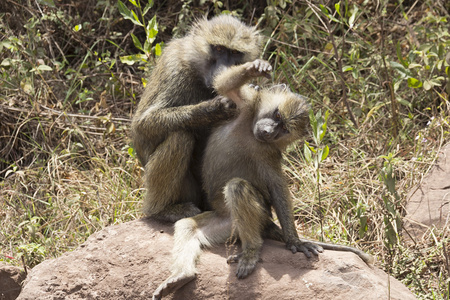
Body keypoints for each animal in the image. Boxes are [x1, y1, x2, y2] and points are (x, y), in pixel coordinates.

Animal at [131, 14, 264, 223]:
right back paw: (161, 210)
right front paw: (215, 108)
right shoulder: (174, 67)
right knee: (181, 136)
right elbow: (143, 125)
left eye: (235, 53)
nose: (224, 70)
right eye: (219, 49)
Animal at [153, 59, 374, 298]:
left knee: (237, 188)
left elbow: (276, 187)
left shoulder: (268, 155)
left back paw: (251, 252)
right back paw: (181, 276)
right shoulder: (243, 105)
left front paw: (294, 240)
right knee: (187, 226)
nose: (268, 132)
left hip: (252, 220)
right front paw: (255, 68)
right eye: (277, 116)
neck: (250, 131)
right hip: (225, 225)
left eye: (284, 128)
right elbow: (224, 85)